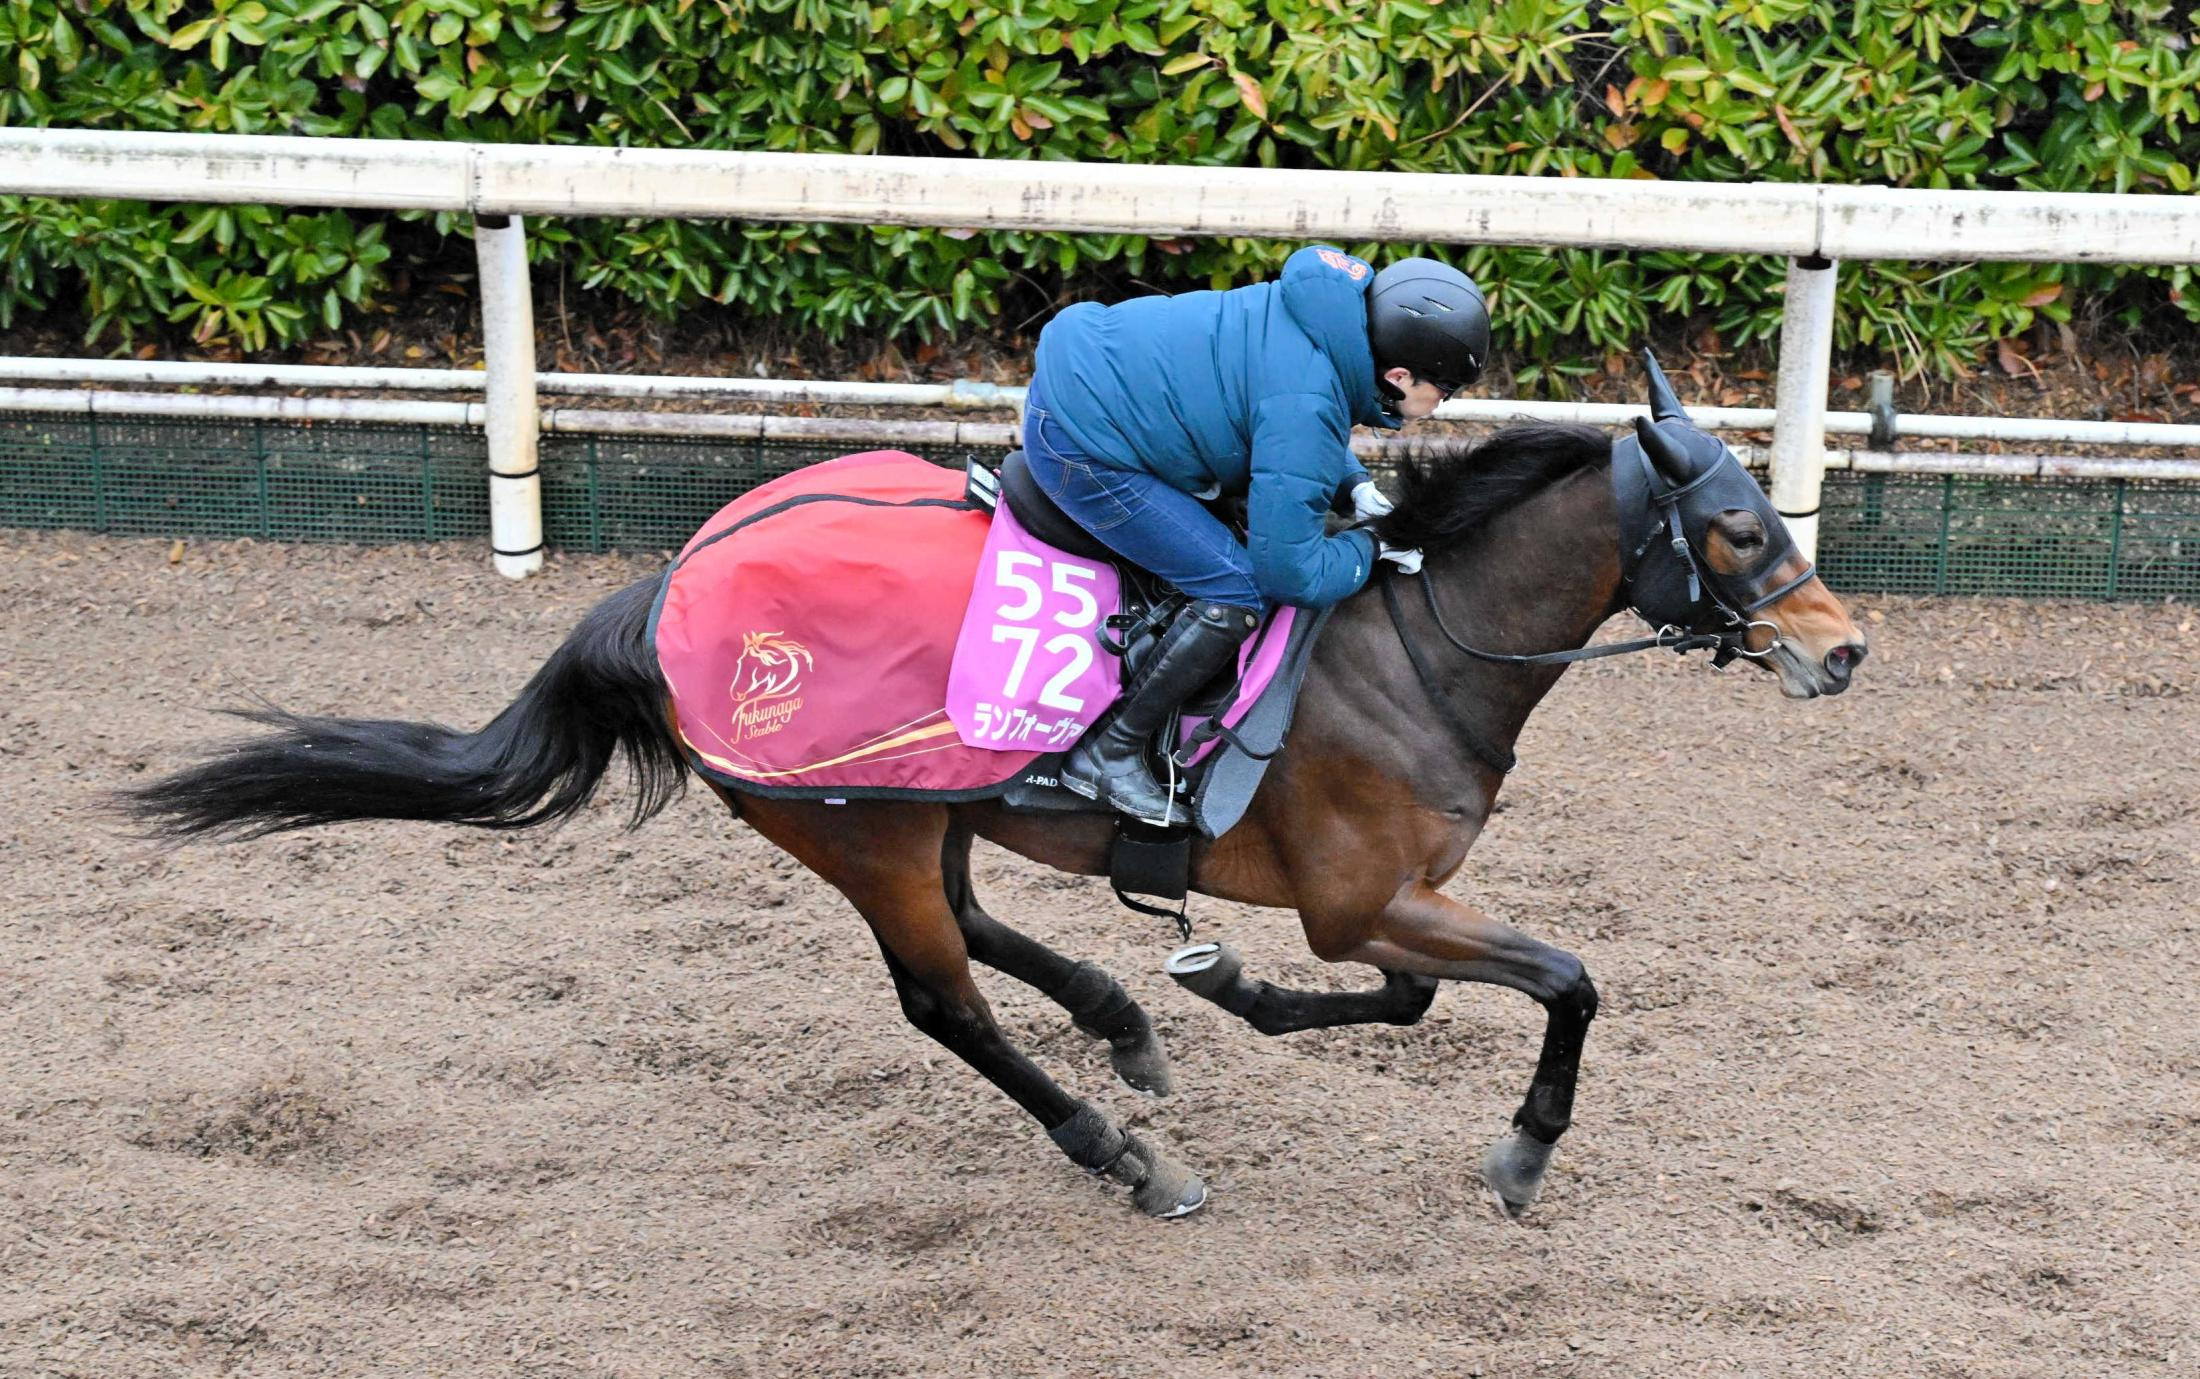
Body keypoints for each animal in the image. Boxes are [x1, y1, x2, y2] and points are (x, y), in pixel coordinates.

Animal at [128, 356, 1865, 1222]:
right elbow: (1564, 979)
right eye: (1733, 527)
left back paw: (1127, 1014)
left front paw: (1217, 982)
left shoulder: (1381, 901)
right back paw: (1121, 1147)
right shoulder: (1362, 893)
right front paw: (1518, 1154)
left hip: (929, 807)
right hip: (861, 826)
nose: (1843, 647)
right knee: (941, 996)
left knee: (976, 929)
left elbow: (1415, 997)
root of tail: (670, 583)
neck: (1420, 633)